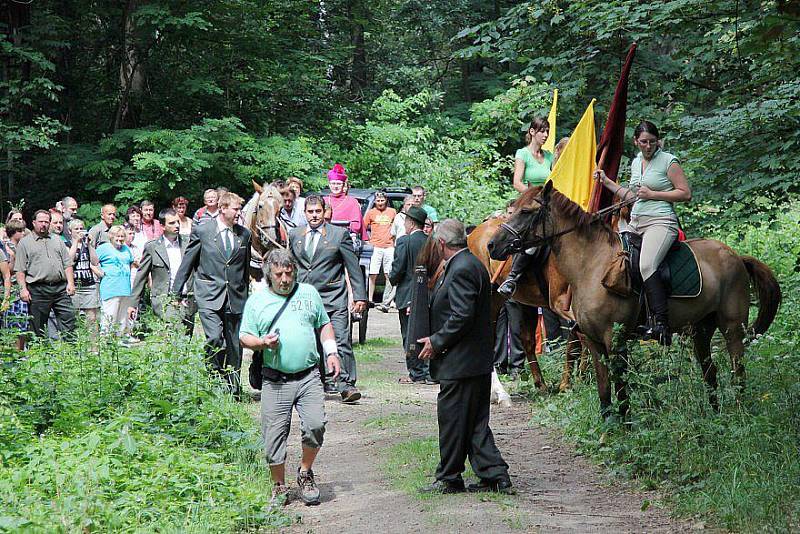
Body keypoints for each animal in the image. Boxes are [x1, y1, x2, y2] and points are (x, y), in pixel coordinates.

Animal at [488, 183, 780, 418]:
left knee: (738, 371)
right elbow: (604, 389)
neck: (592, 265)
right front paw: (608, 430)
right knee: (711, 372)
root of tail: (737, 257)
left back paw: (738, 413)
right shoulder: (593, 341)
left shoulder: (614, 339)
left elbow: (621, 389)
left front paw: (626, 427)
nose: (492, 246)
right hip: (701, 329)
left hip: (732, 328)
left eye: (526, 212)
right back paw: (715, 417)